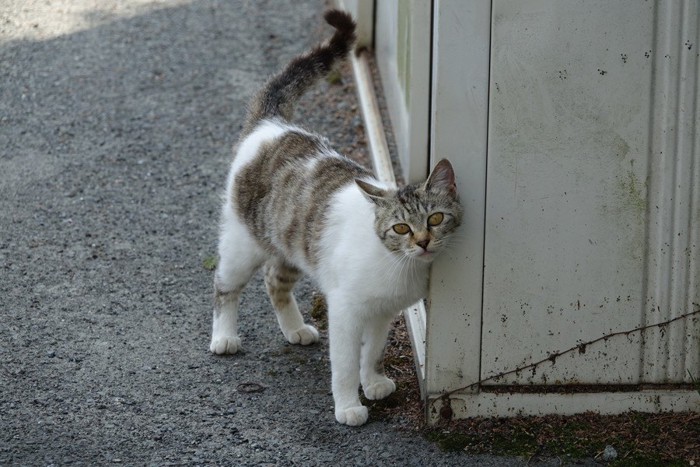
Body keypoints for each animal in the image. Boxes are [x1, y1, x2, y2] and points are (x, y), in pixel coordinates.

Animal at [211, 10, 462, 428]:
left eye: (436, 218)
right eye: (401, 227)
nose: (424, 242)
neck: (397, 264)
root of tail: (271, 125)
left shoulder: (383, 312)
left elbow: (372, 350)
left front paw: (372, 381)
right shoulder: (345, 309)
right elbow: (343, 364)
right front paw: (347, 405)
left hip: (291, 248)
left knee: (274, 282)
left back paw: (295, 329)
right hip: (241, 243)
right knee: (225, 287)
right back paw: (224, 337)